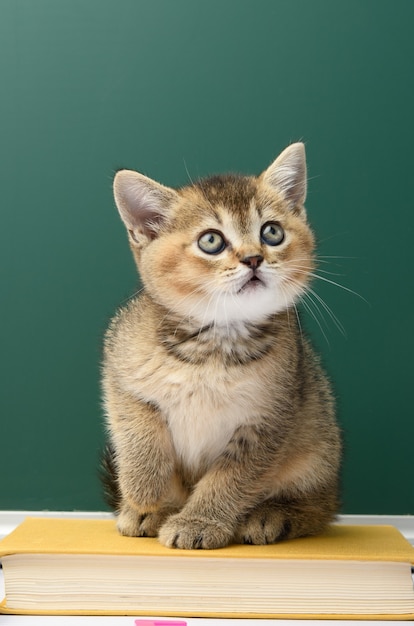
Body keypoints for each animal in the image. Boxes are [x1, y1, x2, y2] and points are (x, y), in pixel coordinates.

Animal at [102, 144, 342, 548]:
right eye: (211, 241)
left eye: (272, 232)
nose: (254, 258)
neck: (215, 345)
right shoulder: (119, 367)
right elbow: (137, 430)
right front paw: (143, 492)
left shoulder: (269, 420)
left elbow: (230, 480)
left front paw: (198, 522)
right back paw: (147, 511)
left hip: (319, 445)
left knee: (321, 506)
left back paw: (272, 515)